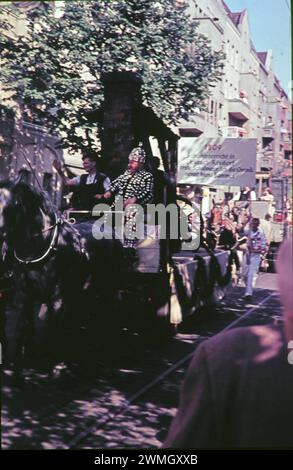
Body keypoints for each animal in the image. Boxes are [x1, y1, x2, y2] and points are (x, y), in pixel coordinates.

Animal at [0, 181, 122, 382]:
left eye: (12, 206)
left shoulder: (57, 296)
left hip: (108, 288)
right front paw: (17, 369)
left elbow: (55, 327)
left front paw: (57, 367)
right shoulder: (25, 294)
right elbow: (21, 328)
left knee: (107, 316)